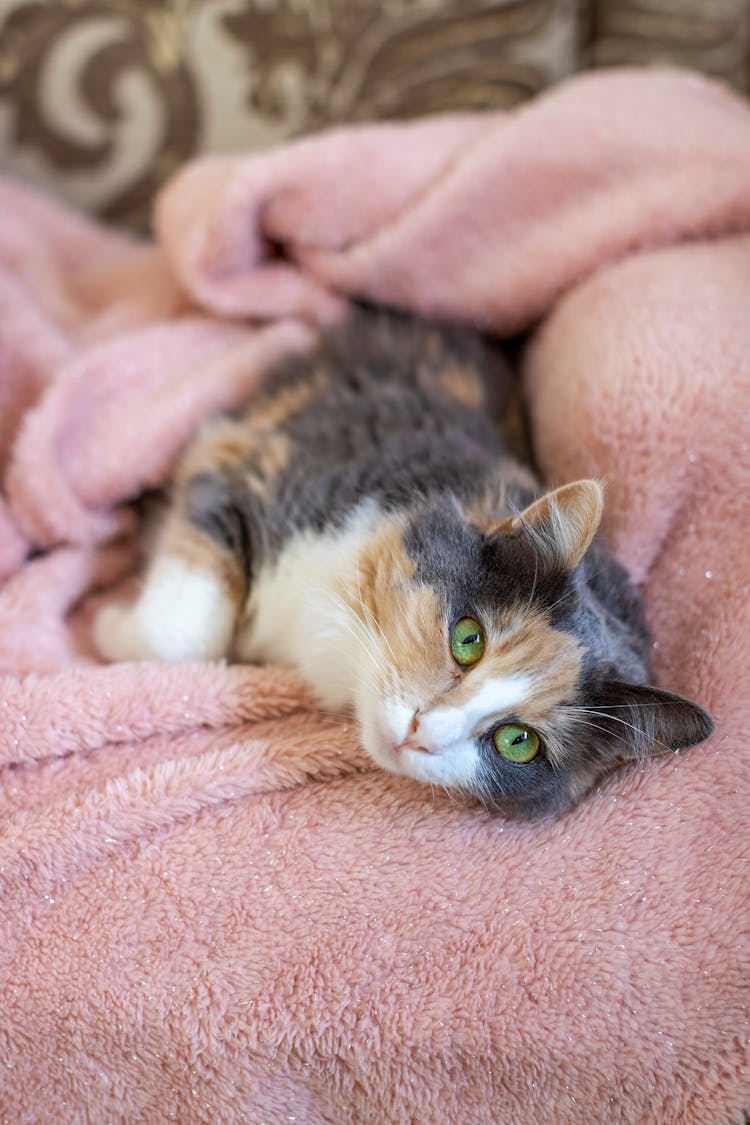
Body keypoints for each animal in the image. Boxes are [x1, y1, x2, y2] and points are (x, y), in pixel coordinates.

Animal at [95, 308, 715, 819]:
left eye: (518, 743)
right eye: (468, 639)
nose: (422, 730)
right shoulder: (245, 456)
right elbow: (179, 633)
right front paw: (108, 627)